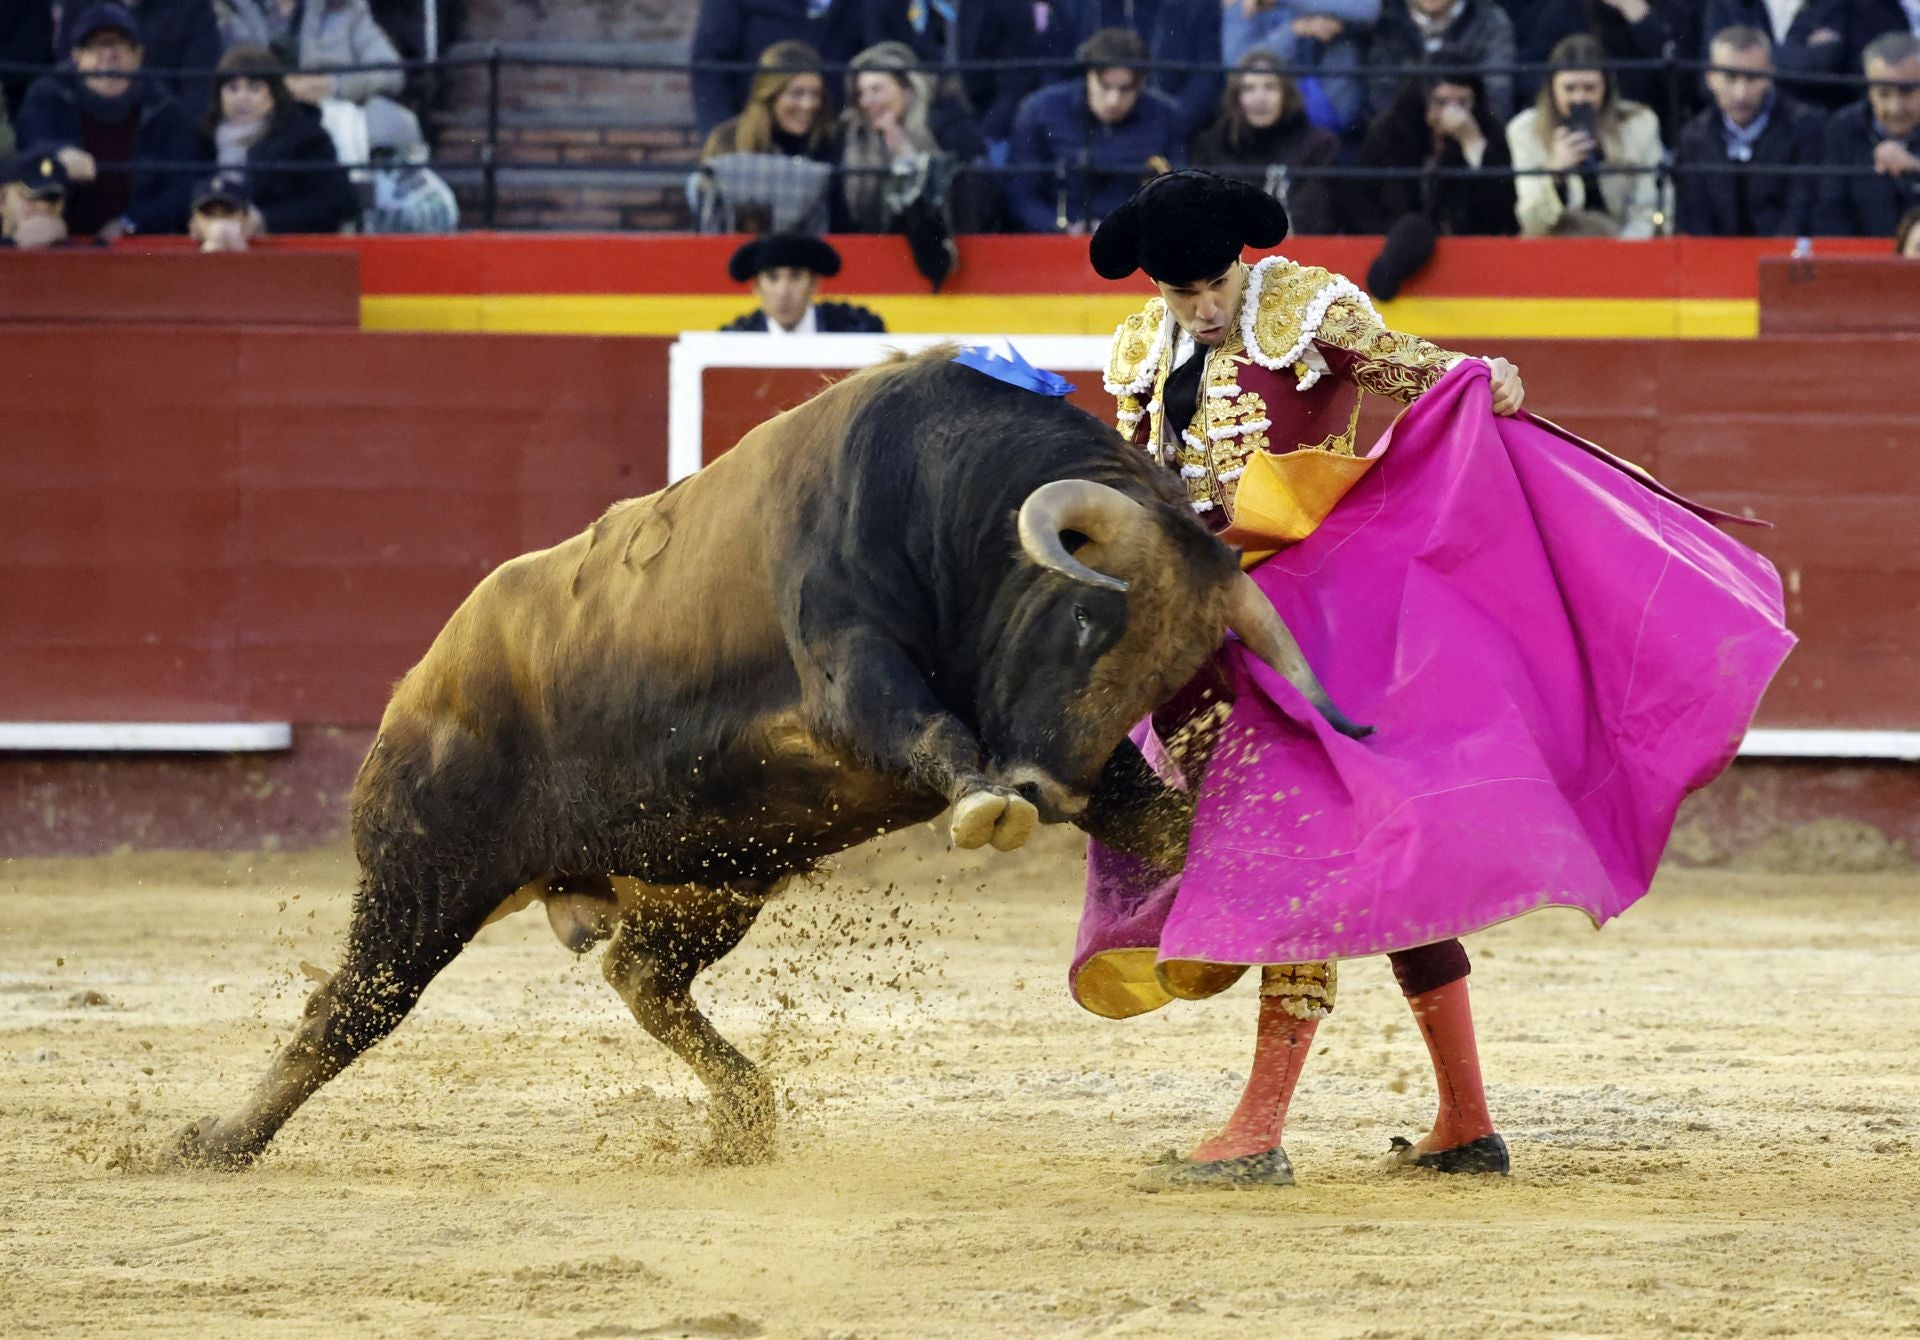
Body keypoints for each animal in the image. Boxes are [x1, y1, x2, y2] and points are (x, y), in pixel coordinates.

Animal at [168, 347, 1367, 1167]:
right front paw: (984, 804)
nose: (1038, 791)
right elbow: (924, 725)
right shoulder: (849, 673)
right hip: (425, 872)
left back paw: (744, 1118)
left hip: (704, 878)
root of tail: (421, 679)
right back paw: (214, 1143)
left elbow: (1155, 814)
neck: (951, 505)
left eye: (1169, 677)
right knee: (352, 1008)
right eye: (1085, 622)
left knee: (640, 979)